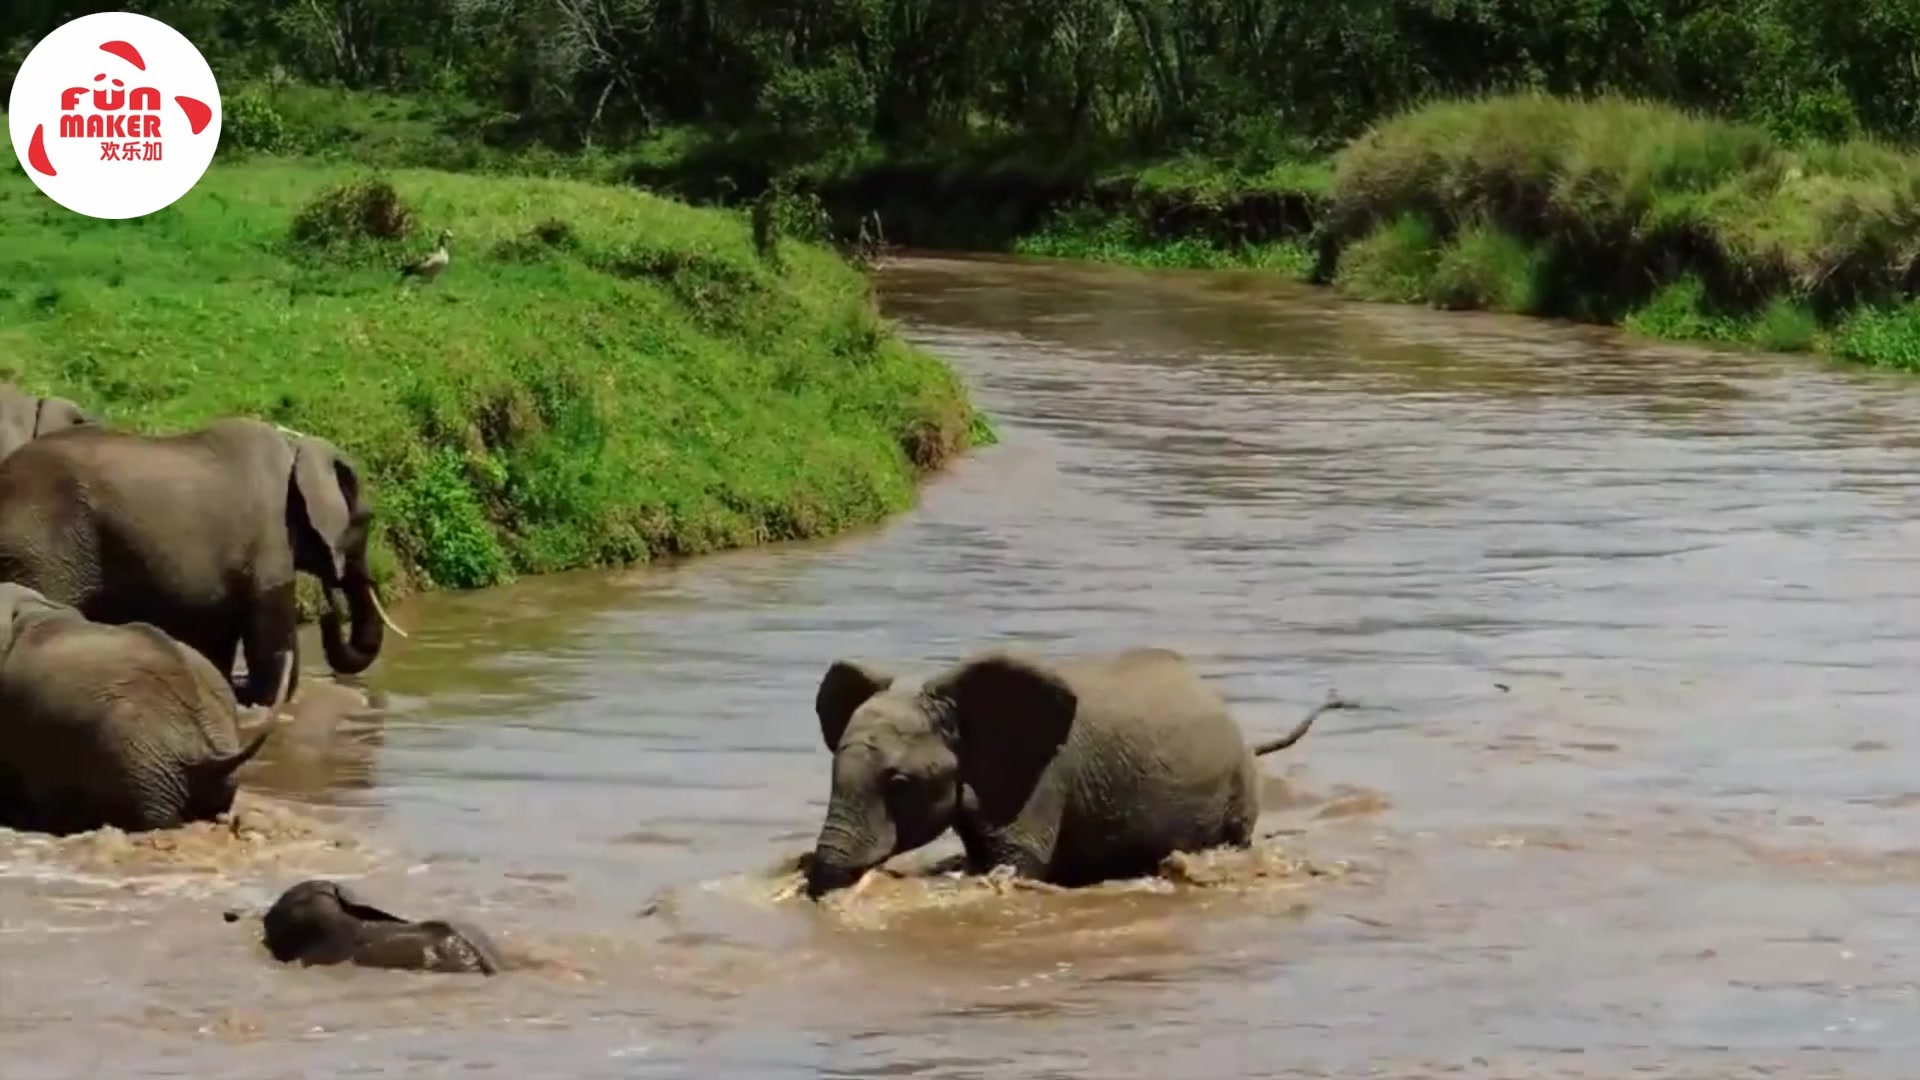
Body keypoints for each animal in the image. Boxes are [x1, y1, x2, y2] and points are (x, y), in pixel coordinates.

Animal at [0, 411, 405, 707]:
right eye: (366, 520)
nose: (329, 613)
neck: (299, 446)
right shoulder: (269, 537)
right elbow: (268, 633)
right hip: (41, 551)